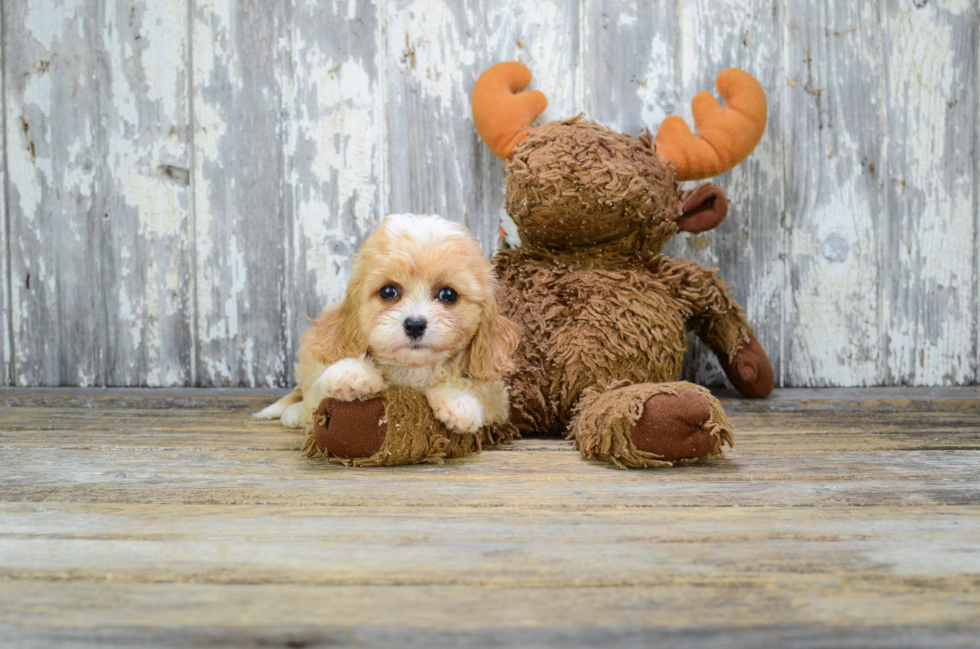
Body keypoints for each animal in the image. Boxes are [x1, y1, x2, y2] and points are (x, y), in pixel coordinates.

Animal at [258, 213, 520, 436]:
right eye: (388, 291)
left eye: (448, 294)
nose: (415, 324)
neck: (413, 369)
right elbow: (322, 387)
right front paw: (352, 373)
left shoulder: (498, 400)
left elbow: (475, 388)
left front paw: (459, 402)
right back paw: (293, 412)